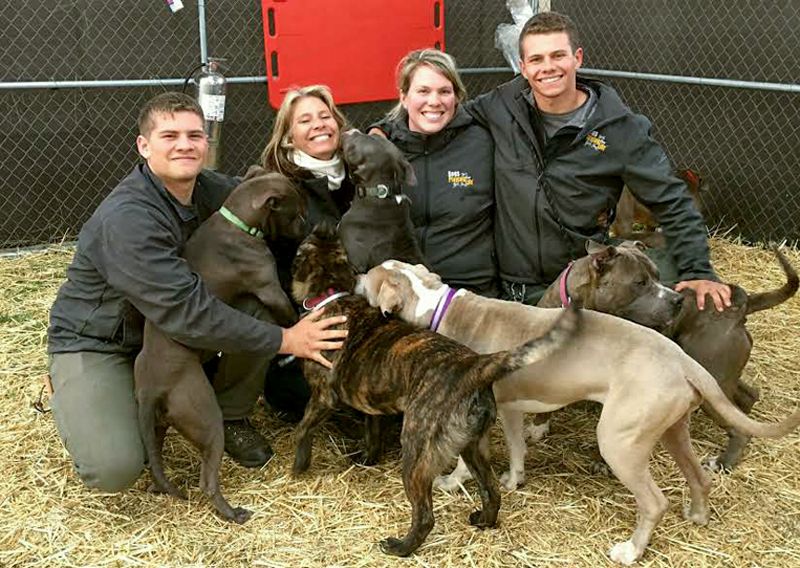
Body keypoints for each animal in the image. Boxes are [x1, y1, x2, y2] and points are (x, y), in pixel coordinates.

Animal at [290, 224, 580, 556]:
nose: (358, 278)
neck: (332, 294)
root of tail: (473, 367)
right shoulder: (372, 407)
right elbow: (372, 435)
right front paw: (366, 458)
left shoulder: (322, 397)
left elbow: (303, 429)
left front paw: (298, 466)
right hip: (473, 446)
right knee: (491, 492)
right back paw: (483, 519)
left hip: (416, 450)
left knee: (425, 515)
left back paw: (401, 546)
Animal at [536, 240, 800, 470]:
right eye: (640, 282)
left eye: (658, 276)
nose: (678, 299)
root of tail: (740, 306)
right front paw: (539, 427)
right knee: (749, 396)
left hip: (712, 377)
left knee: (741, 428)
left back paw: (723, 463)